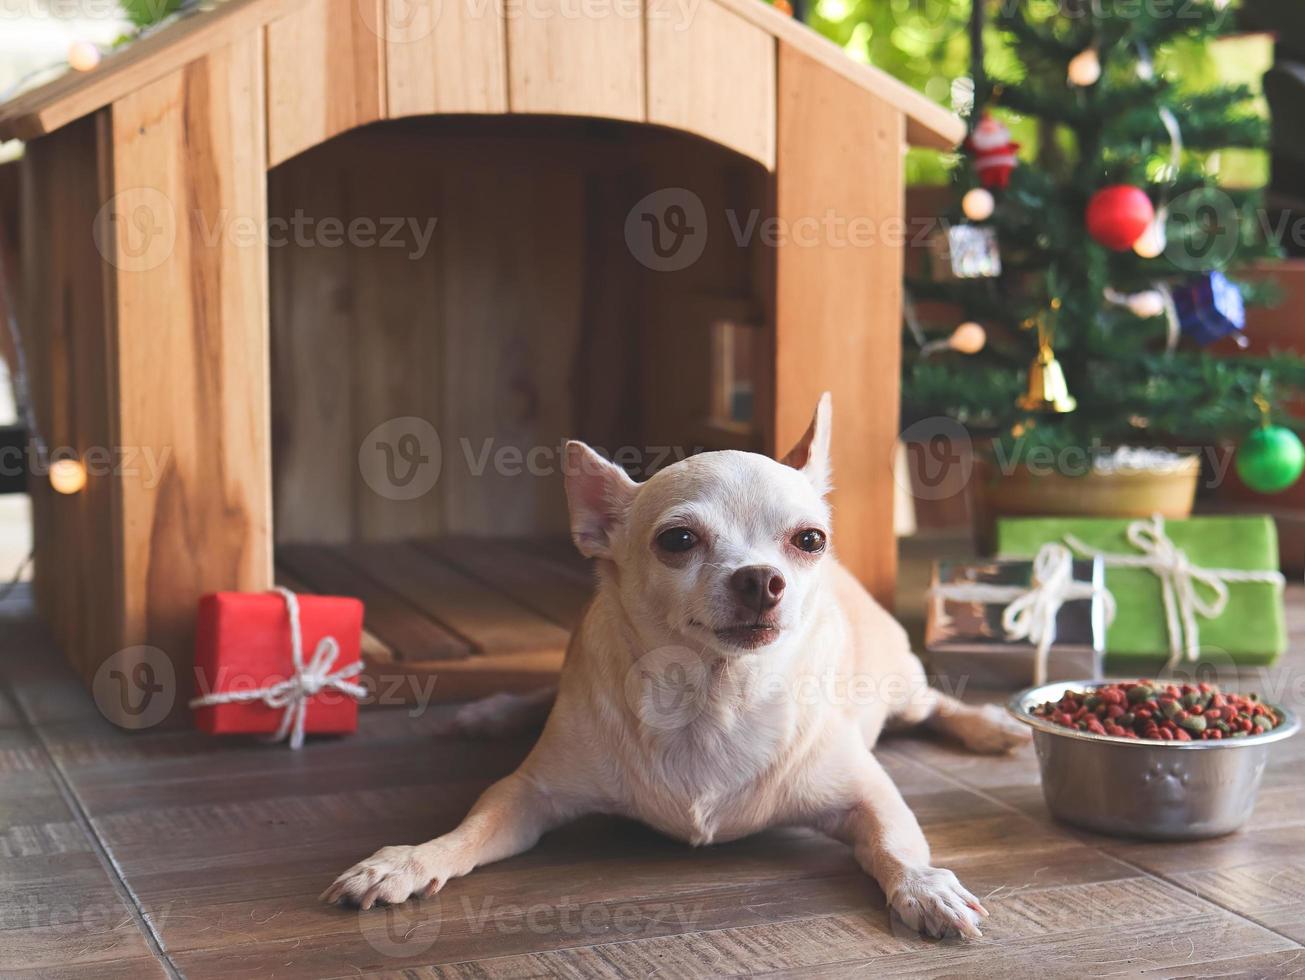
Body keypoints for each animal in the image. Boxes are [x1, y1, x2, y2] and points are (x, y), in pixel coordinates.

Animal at [326, 396, 1028, 944]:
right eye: (678, 541)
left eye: (809, 541)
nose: (760, 579)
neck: (711, 698)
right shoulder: (525, 796)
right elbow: (467, 831)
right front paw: (407, 861)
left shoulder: (868, 794)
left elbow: (895, 842)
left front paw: (925, 886)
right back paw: (490, 712)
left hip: (898, 685)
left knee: (934, 703)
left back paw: (991, 725)